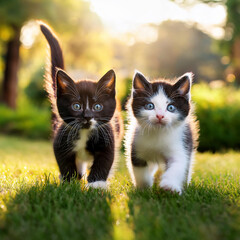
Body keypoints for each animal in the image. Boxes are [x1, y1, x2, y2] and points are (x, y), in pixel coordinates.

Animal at [40, 22, 122, 189]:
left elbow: (105, 161)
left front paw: (96, 184)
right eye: (76, 106)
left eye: (97, 107)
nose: (87, 117)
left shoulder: (108, 136)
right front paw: (70, 181)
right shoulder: (61, 138)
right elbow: (64, 161)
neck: (85, 132)